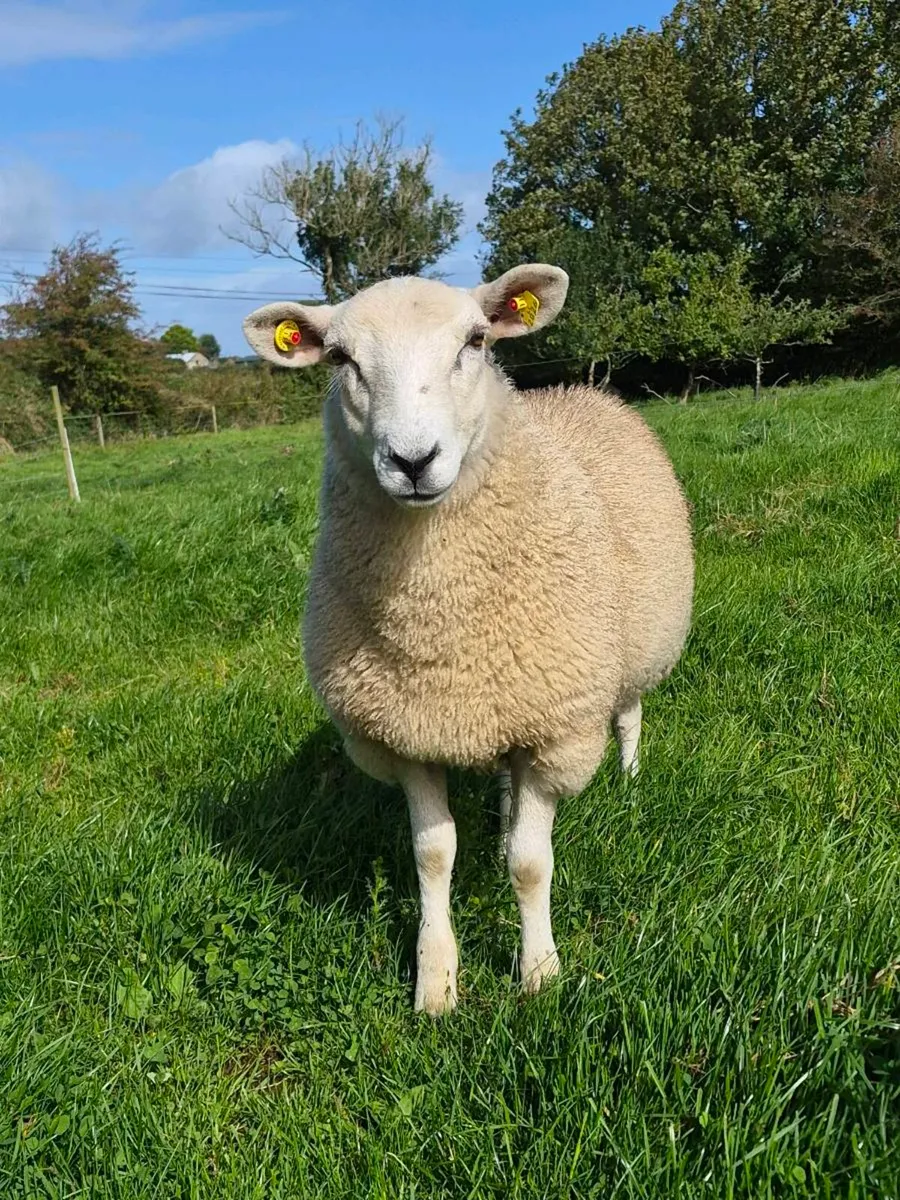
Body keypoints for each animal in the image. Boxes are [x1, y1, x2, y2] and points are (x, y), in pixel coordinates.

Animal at [243, 264, 694, 1015]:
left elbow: (531, 864)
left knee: (629, 713)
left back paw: (630, 780)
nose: (412, 460)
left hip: (630, 649)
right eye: (341, 359)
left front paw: (540, 972)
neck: (439, 617)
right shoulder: (406, 734)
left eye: (475, 341)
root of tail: (581, 390)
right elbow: (433, 855)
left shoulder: (556, 727)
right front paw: (436, 982)